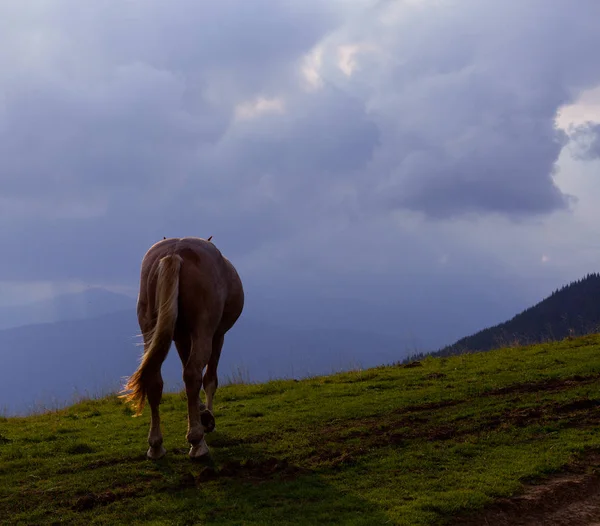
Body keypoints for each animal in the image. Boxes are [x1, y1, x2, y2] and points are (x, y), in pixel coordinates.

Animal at [119, 237, 244, 460]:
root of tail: (174, 253)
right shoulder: (217, 336)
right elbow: (209, 379)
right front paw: (207, 416)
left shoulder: (180, 338)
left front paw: (201, 412)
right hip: (204, 330)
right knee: (193, 373)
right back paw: (197, 442)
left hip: (151, 329)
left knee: (155, 379)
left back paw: (156, 445)